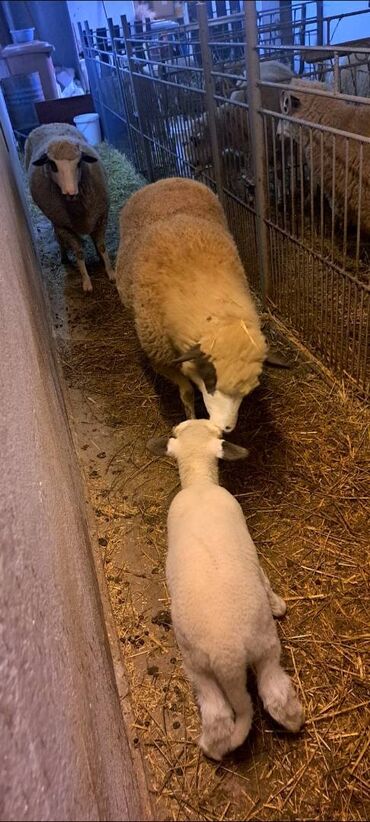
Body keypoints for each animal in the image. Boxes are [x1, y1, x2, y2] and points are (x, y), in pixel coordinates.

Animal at [24, 120, 114, 292]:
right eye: (52, 165)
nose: (70, 193)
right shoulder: (64, 225)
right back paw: (64, 256)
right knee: (58, 237)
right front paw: (86, 281)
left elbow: (101, 246)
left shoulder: (101, 216)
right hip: (55, 220)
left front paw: (110, 272)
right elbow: (79, 252)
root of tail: (49, 124)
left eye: (79, 163)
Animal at [116, 179, 274, 438]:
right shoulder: (163, 359)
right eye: (210, 380)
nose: (226, 428)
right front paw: (190, 419)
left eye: (246, 391)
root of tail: (165, 180)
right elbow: (187, 392)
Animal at [146, 422, 304, 764]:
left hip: (235, 656)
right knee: (242, 707)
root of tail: (227, 655)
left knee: (260, 701)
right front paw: (278, 604)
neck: (199, 484)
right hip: (213, 662)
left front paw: (278, 605)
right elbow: (264, 578)